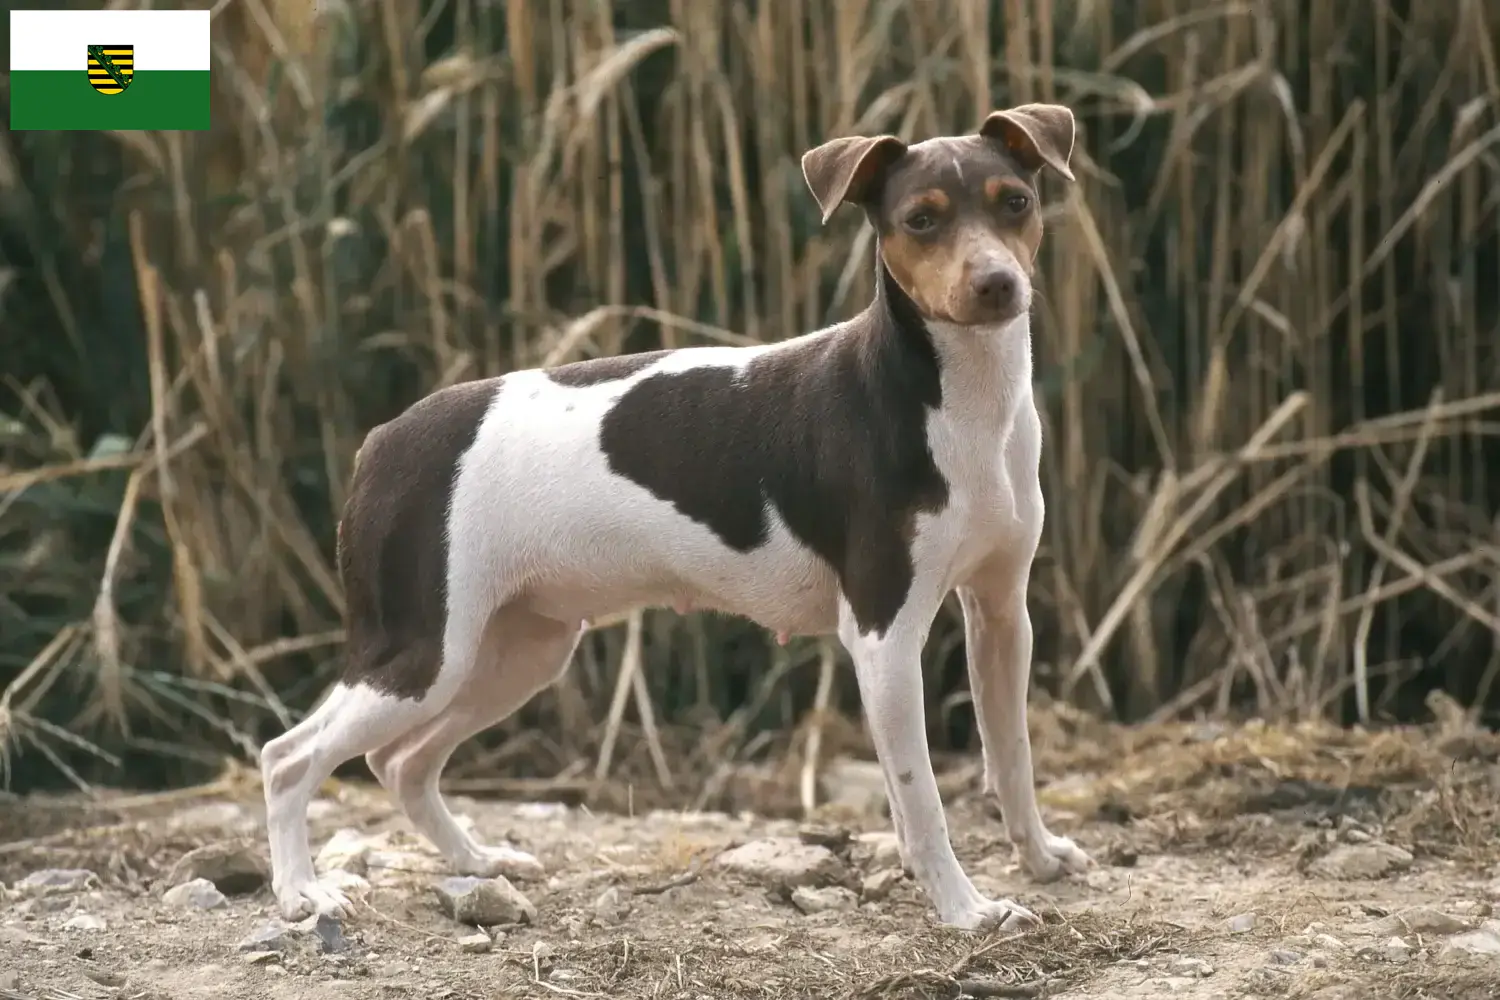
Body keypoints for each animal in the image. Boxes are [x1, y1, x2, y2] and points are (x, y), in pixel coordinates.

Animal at [261, 105, 1092, 935]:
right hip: (423, 654)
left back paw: (478, 860)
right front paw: (965, 909)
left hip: (512, 653)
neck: (957, 401)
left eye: (1015, 203)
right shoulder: (884, 638)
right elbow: (921, 800)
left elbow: (1012, 756)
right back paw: (303, 892)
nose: (996, 283)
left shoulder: (1000, 613)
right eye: (921, 220)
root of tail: (381, 440)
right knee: (290, 758)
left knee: (402, 763)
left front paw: (1041, 858)